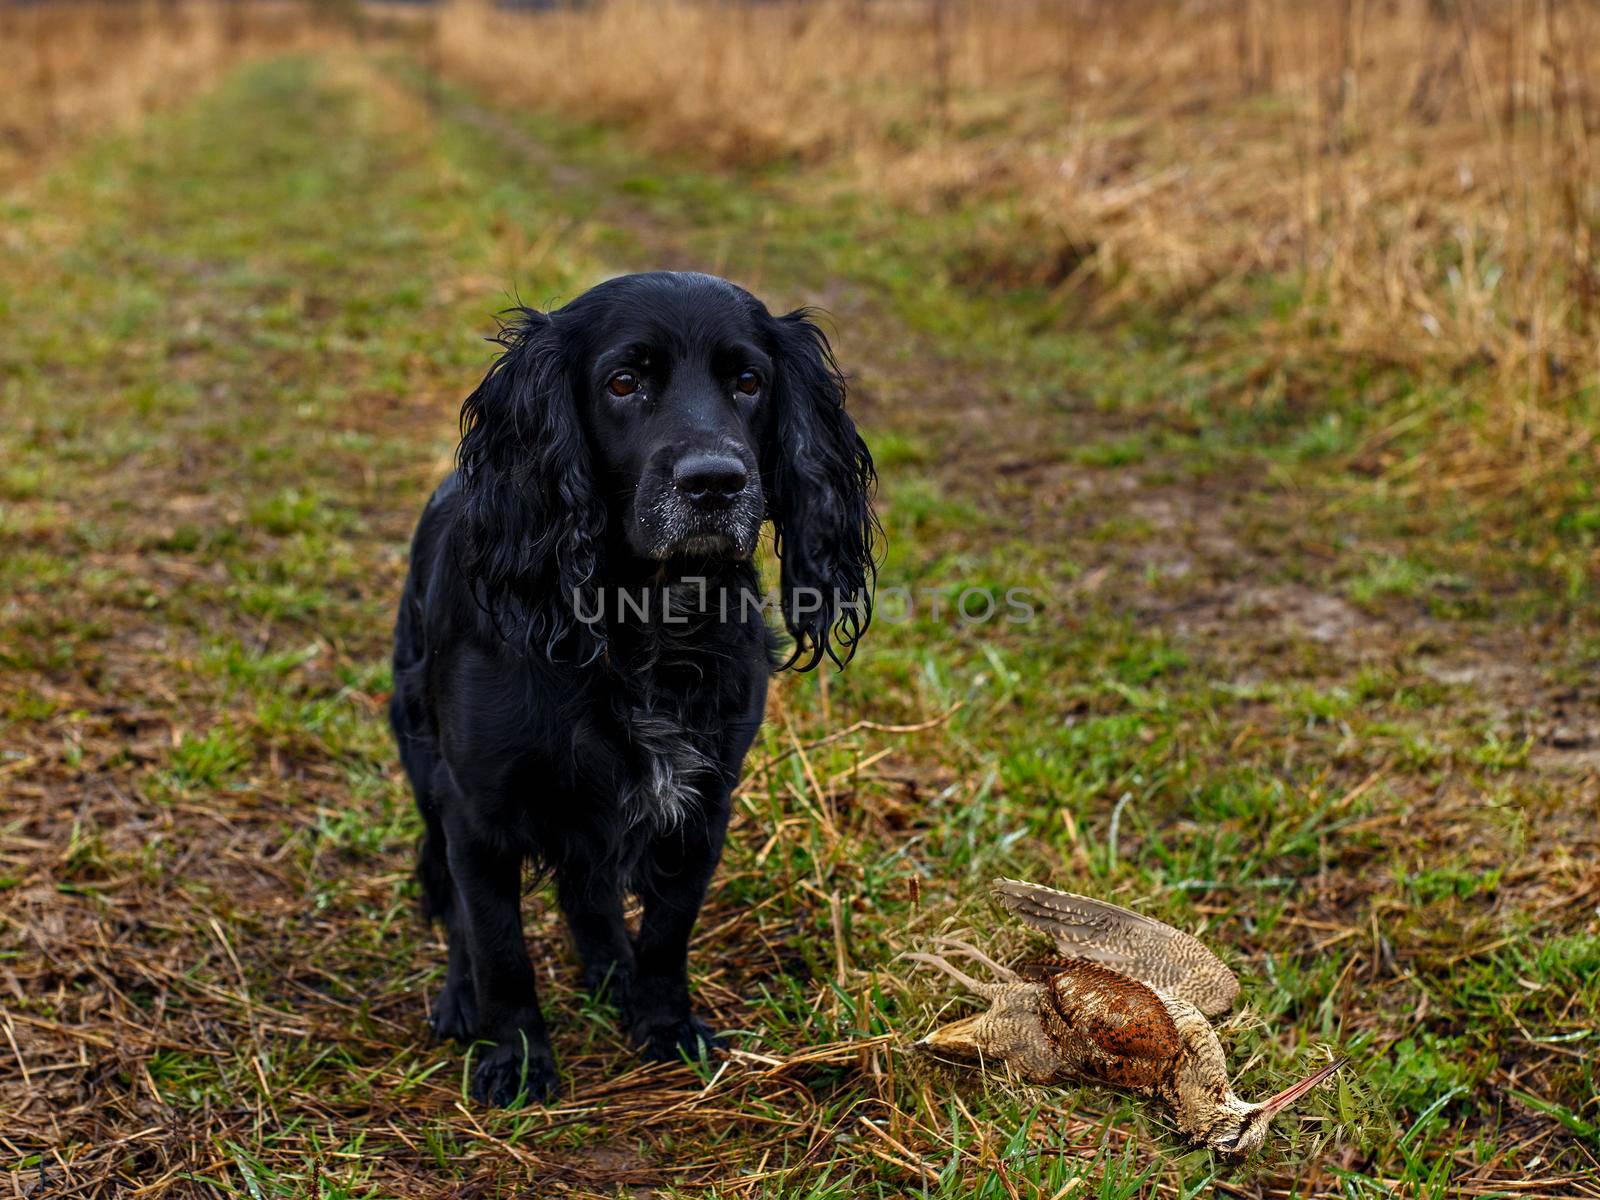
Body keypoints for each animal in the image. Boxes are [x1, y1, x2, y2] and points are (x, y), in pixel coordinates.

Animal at [393, 272, 883, 1107]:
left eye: (748, 381)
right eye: (624, 382)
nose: (715, 482)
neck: (646, 619)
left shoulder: (701, 801)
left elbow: (665, 934)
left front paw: (664, 1026)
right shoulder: (479, 810)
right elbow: (498, 949)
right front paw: (516, 1061)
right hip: (426, 765)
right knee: (455, 905)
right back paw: (462, 1001)